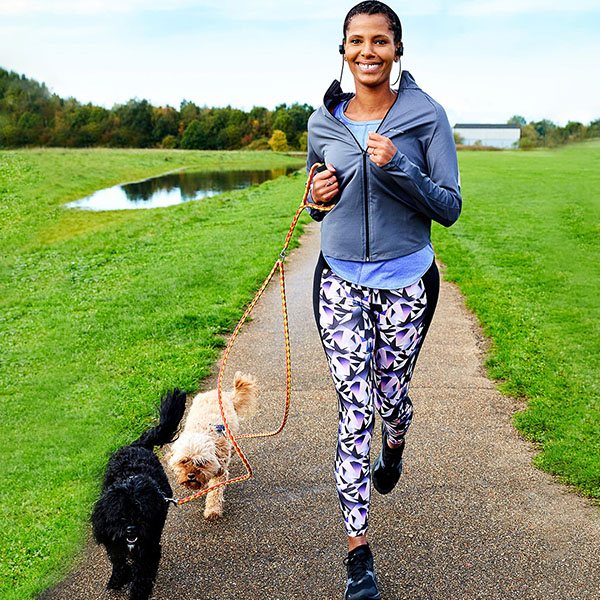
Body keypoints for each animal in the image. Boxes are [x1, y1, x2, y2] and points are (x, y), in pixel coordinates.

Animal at [90, 390, 185, 600]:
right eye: (119, 513)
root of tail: (139, 444)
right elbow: (118, 562)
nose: (131, 529)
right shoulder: (113, 539)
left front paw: (137, 593)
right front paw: (119, 578)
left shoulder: (148, 548)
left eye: (141, 512)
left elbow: (142, 574)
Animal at [166, 372, 258, 516]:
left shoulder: (220, 472)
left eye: (202, 463)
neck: (202, 430)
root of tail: (218, 392)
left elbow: (215, 492)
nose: (190, 475)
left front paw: (212, 510)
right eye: (183, 461)